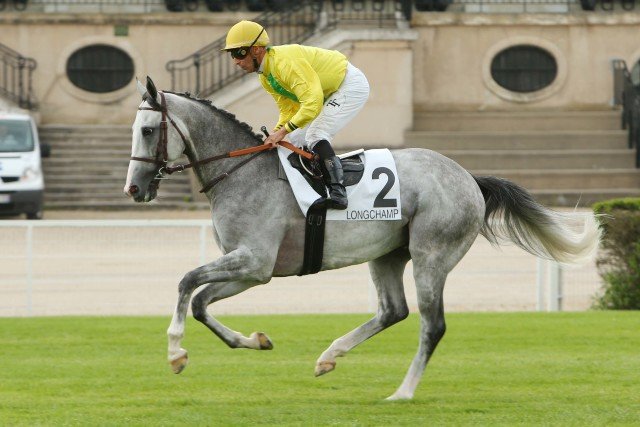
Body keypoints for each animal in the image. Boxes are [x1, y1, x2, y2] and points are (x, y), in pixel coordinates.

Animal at [124, 77, 601, 400]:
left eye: (147, 130)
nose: (133, 189)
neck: (241, 173)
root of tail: (469, 178)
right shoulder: (254, 270)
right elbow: (202, 303)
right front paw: (256, 340)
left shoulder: (253, 260)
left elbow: (186, 282)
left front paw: (175, 353)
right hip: (388, 254)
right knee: (393, 311)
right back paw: (329, 356)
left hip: (431, 255)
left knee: (432, 324)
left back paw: (402, 391)